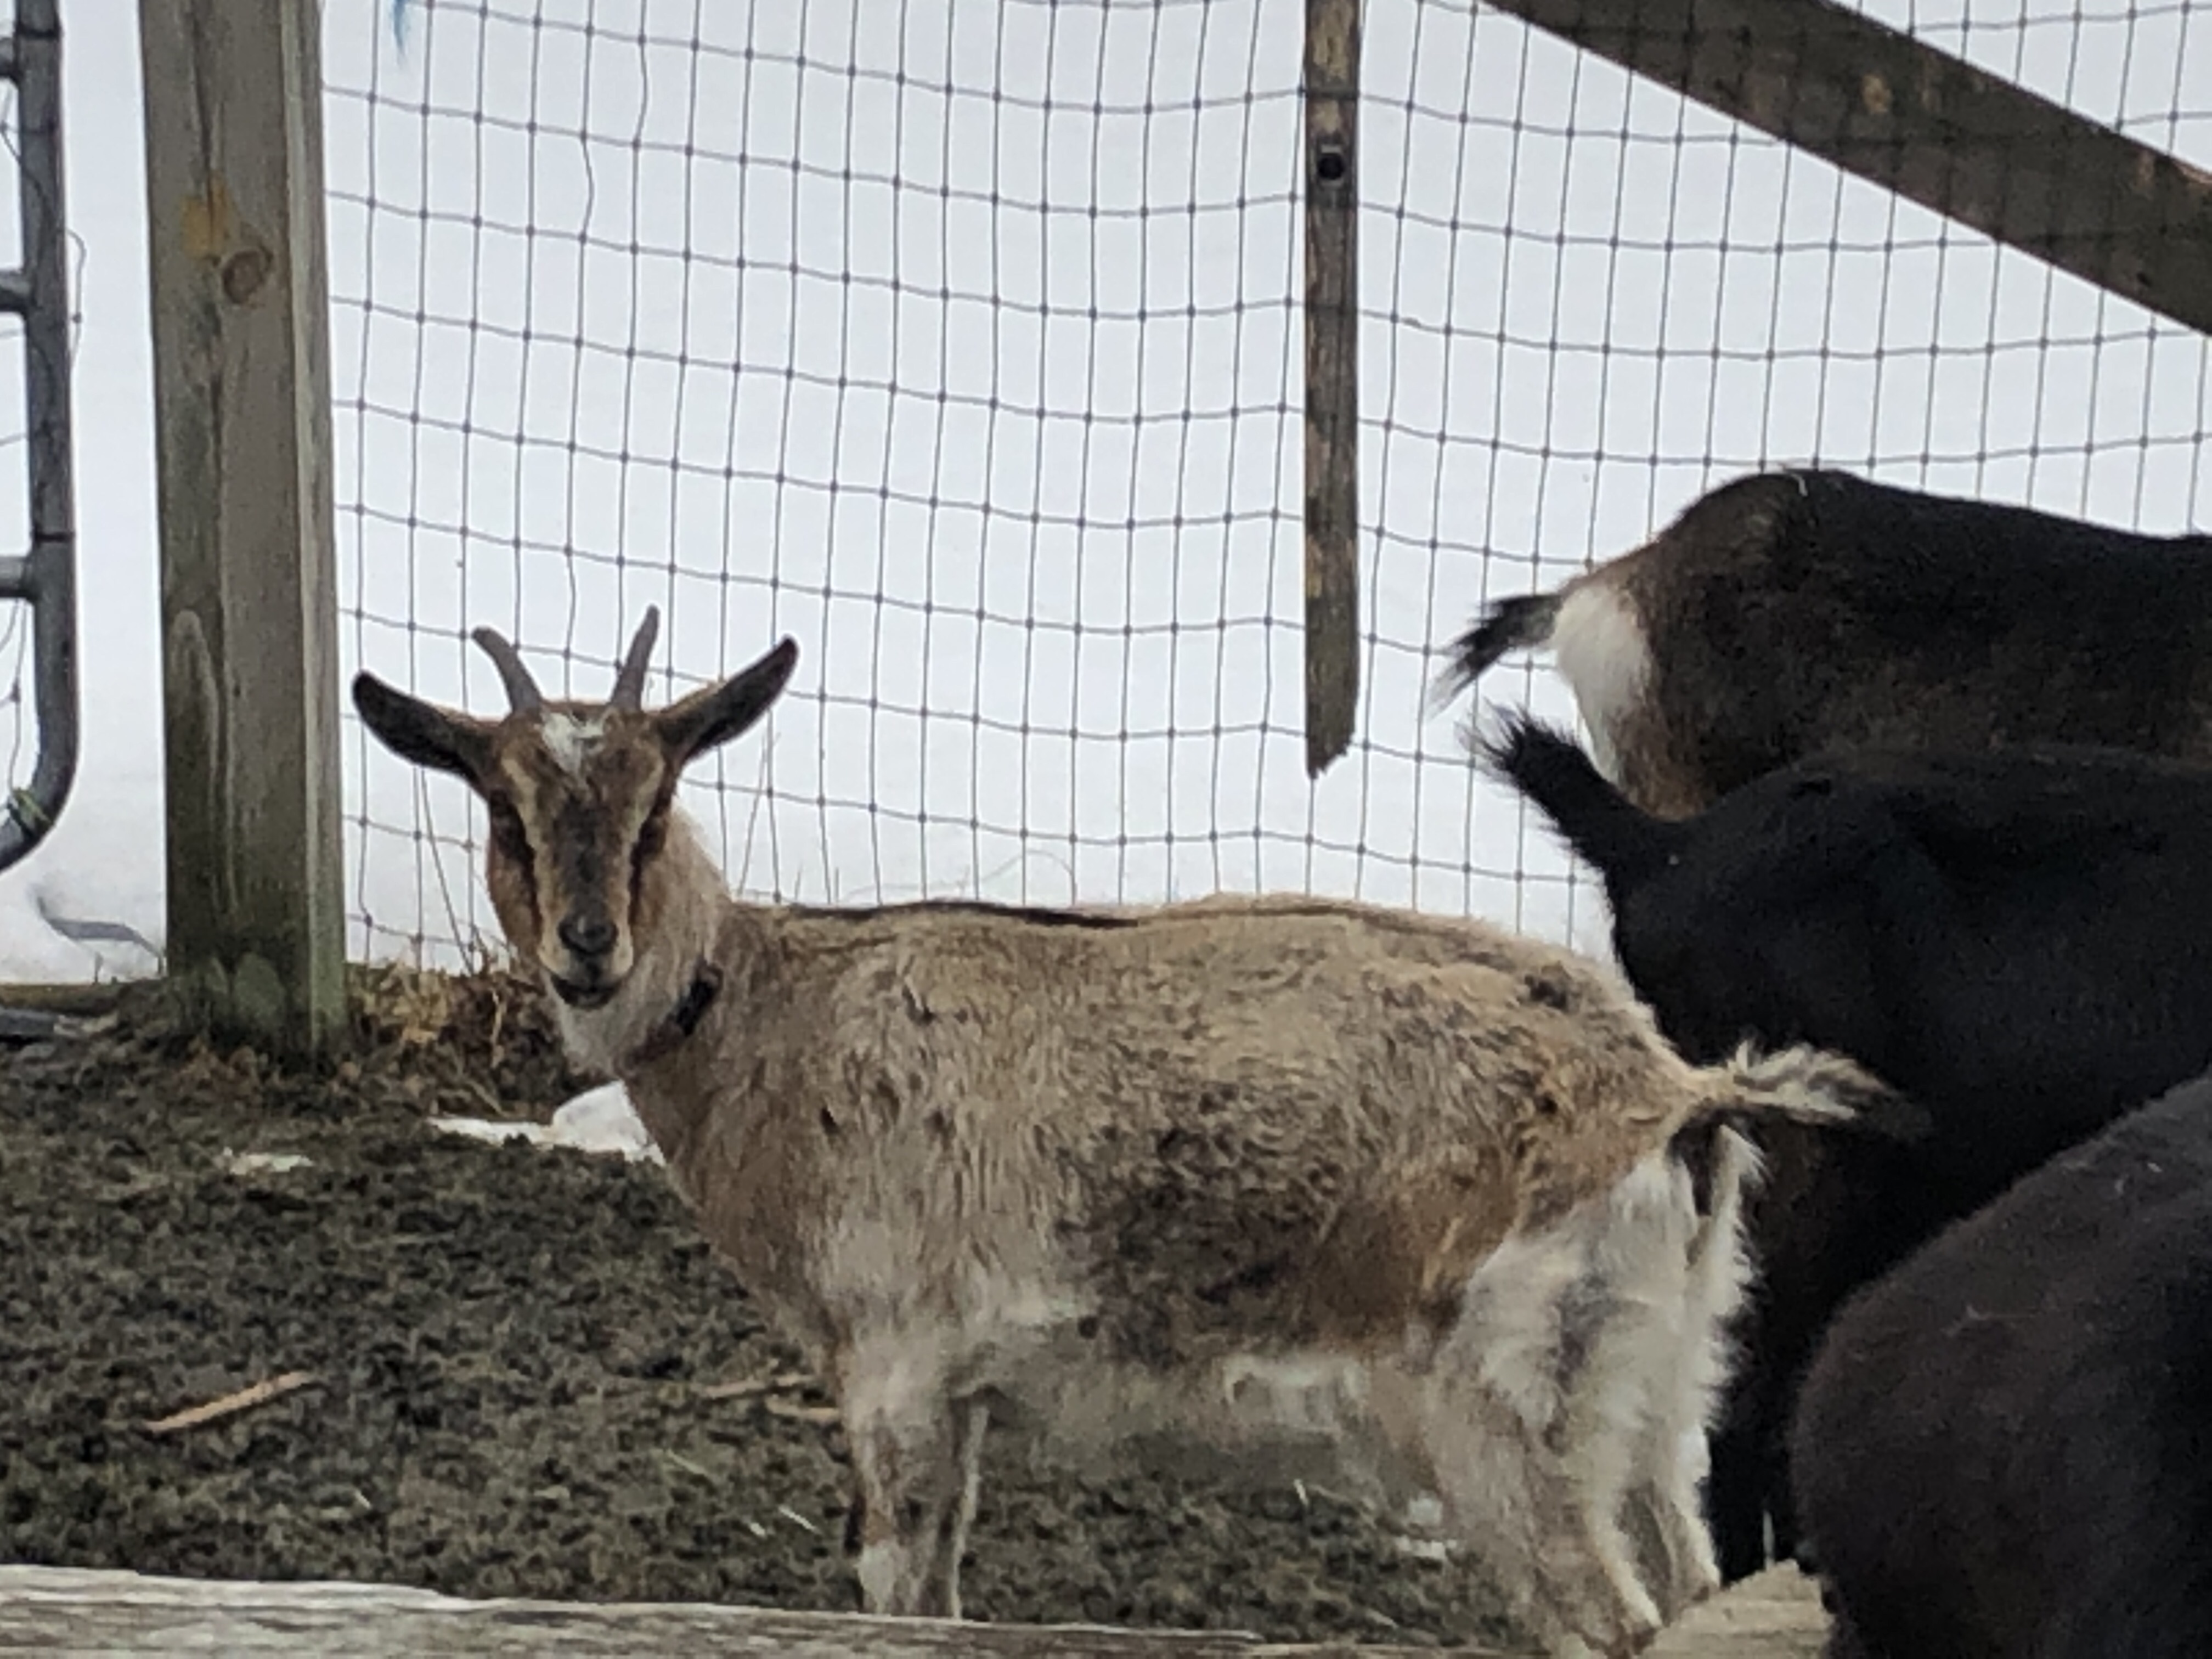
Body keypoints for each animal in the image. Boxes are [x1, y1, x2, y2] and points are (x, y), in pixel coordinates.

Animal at [350, 610, 1911, 1656]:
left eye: (661, 798)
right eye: (502, 808)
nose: (589, 949)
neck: (780, 1022)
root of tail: (1675, 1102)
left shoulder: (899, 1367)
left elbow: (901, 1595)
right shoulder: (961, 1392)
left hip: (1512, 1422)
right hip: (1658, 1398)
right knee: (1702, 1580)